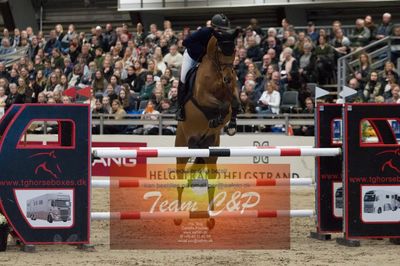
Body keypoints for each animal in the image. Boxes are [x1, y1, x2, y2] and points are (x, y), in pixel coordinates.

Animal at [174, 29, 238, 229]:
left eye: (234, 50)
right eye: (220, 49)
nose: (228, 77)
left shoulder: (230, 91)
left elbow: (232, 104)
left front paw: (230, 123)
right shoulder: (202, 96)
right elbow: (220, 105)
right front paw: (215, 118)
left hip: (211, 153)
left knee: (211, 181)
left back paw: (211, 217)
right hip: (182, 148)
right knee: (180, 180)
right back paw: (178, 215)